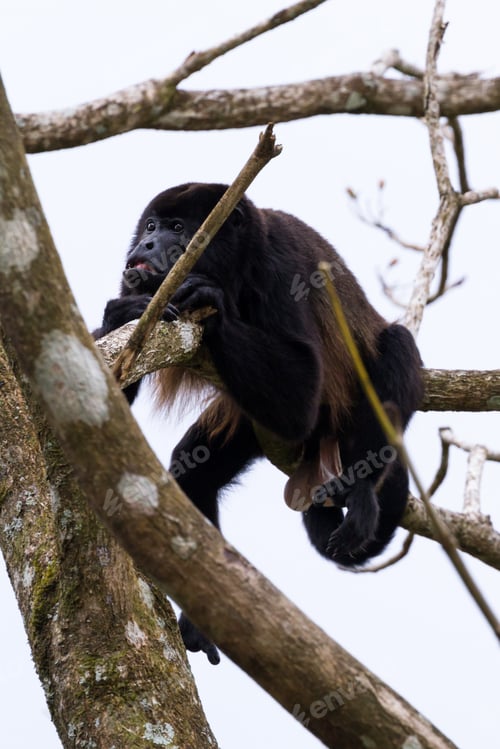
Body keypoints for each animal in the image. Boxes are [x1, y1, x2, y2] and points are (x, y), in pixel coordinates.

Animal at [94, 182, 423, 664]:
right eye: (151, 225)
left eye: (178, 227)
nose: (147, 244)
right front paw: (122, 313)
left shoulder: (279, 265)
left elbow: (303, 388)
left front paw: (209, 298)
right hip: (249, 428)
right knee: (193, 470)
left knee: (398, 344)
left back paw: (363, 486)